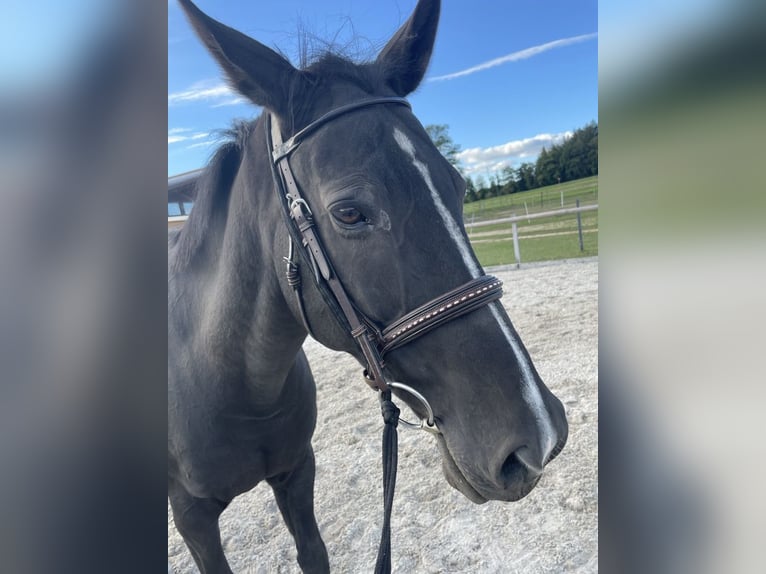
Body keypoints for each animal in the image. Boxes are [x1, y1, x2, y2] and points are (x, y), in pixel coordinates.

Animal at [168, 1, 568, 572]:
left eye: (457, 186)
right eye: (349, 213)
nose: (540, 435)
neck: (231, 381)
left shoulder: (297, 473)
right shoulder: (192, 515)